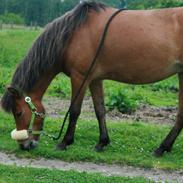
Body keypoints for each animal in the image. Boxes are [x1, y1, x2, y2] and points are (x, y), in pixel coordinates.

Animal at [1, 0, 183, 157]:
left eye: (18, 112)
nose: (24, 145)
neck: (73, 34)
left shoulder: (80, 77)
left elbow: (75, 111)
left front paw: (65, 142)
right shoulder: (95, 79)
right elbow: (100, 110)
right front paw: (102, 142)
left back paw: (161, 148)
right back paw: (164, 147)